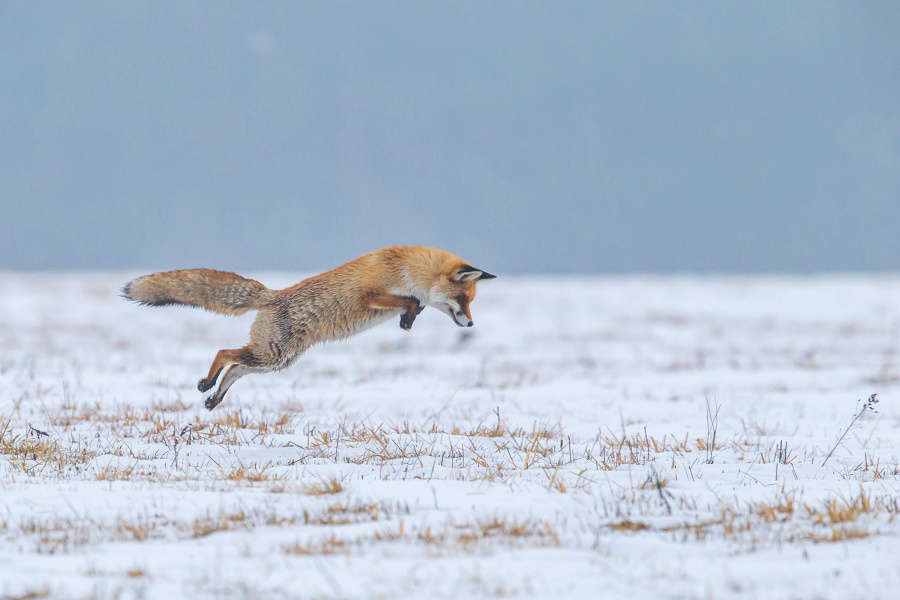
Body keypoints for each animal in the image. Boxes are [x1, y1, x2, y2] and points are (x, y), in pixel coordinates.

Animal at [122, 246, 496, 410]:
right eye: (463, 299)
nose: (472, 323)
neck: (408, 268)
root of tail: (272, 295)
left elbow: (414, 305)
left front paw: (408, 321)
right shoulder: (370, 295)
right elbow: (411, 301)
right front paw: (408, 315)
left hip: (277, 359)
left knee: (236, 367)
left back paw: (215, 397)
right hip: (273, 354)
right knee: (224, 353)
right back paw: (207, 384)